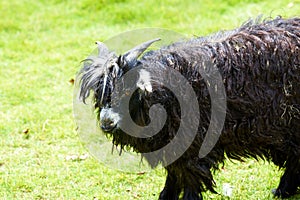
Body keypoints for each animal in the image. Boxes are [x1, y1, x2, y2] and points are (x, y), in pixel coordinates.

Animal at [78, 16, 300, 198]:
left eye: (127, 92)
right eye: (100, 93)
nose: (107, 123)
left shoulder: (193, 145)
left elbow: (190, 179)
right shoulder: (173, 146)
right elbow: (173, 177)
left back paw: (283, 189)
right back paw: (284, 190)